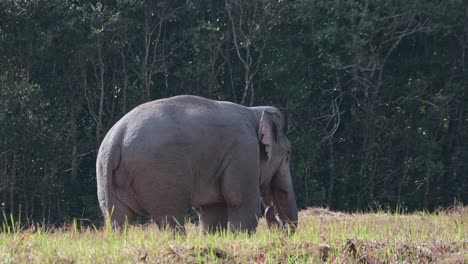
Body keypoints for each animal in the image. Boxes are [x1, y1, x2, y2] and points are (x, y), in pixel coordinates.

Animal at [96, 94, 298, 233]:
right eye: (288, 153)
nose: (271, 212)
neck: (253, 111)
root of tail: (116, 138)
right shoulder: (244, 150)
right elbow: (242, 201)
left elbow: (212, 211)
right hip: (159, 174)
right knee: (170, 217)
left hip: (105, 174)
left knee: (117, 219)